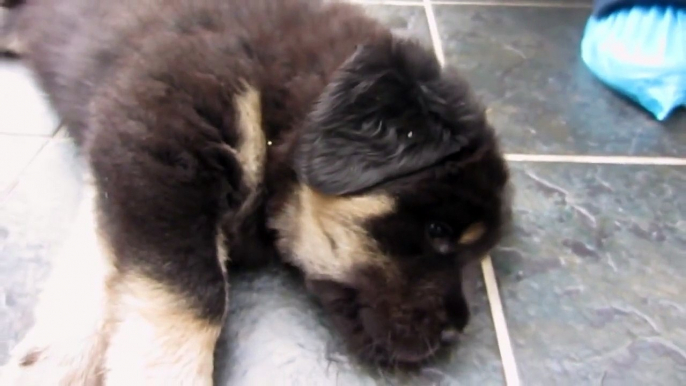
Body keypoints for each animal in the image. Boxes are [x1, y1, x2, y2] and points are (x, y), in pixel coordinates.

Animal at [0, 0, 510, 382]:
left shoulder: (130, 159)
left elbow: (96, 265)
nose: (453, 335)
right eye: (437, 230)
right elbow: (191, 298)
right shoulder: (160, 143)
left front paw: (48, 362)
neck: (278, 101)